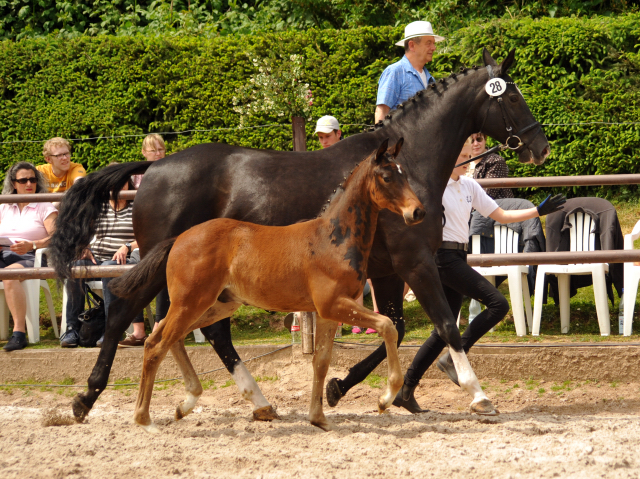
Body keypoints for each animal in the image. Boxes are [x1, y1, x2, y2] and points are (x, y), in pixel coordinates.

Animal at [111, 138, 424, 432]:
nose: (418, 212)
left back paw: (185, 404)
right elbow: (387, 326)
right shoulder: (333, 304)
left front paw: (319, 418)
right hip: (191, 302)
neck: (333, 238)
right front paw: (385, 398)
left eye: (405, 174)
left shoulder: (328, 313)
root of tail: (178, 239)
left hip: (215, 305)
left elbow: (321, 362)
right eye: (387, 177)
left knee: (166, 335)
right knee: (156, 345)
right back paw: (145, 419)